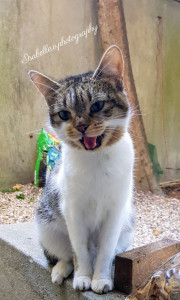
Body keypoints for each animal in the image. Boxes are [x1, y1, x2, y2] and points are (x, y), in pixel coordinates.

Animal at [28, 45, 134, 294]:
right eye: (64, 114)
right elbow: (79, 250)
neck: (96, 161)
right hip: (46, 224)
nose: (82, 126)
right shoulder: (73, 210)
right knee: (66, 254)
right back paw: (61, 271)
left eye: (97, 105)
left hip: (127, 228)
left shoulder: (115, 212)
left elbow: (106, 251)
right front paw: (83, 277)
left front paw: (101, 279)